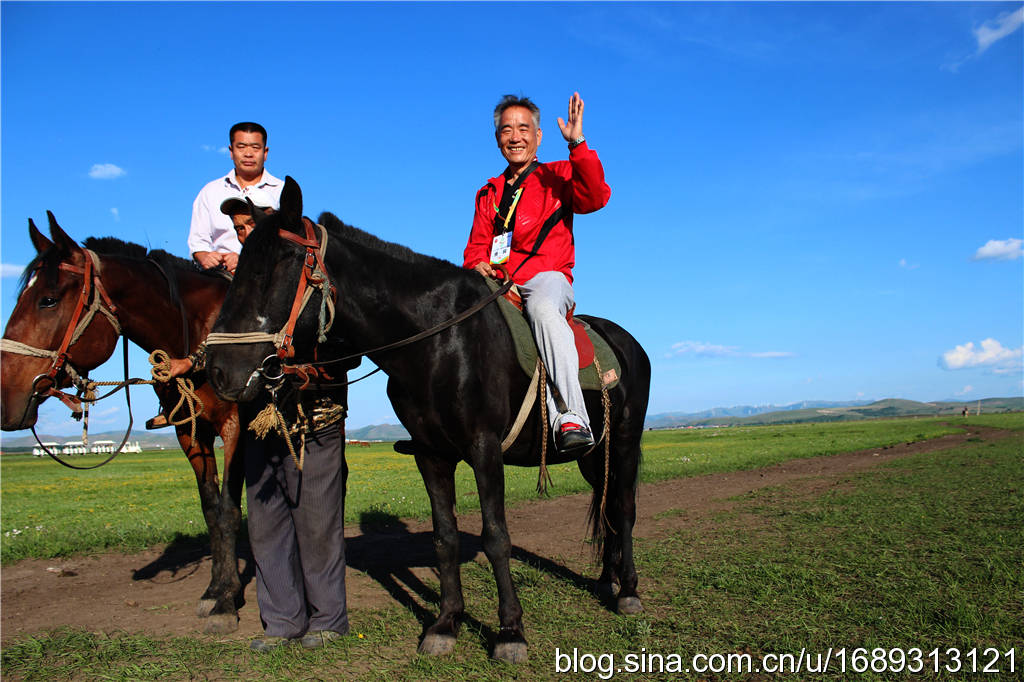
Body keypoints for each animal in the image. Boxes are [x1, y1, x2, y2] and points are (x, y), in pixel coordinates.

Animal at [0, 212, 245, 630]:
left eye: (48, 300)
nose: (6, 396)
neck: (201, 330)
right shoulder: (189, 431)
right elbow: (212, 509)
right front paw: (216, 590)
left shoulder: (237, 425)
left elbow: (229, 508)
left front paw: (228, 603)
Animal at [205, 178, 647, 659]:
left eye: (273, 270)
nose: (218, 370)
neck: (439, 339)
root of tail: (627, 343)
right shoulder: (431, 454)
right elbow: (444, 537)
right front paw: (446, 623)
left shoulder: (485, 448)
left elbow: (496, 536)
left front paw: (510, 631)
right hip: (595, 454)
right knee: (606, 504)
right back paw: (607, 580)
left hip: (625, 442)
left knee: (623, 508)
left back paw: (628, 591)